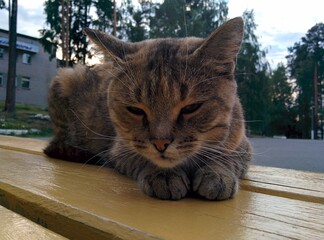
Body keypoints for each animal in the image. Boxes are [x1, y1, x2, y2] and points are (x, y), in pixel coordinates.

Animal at [44, 17, 252, 201]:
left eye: (191, 107)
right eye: (135, 110)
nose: (161, 143)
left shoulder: (242, 144)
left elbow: (228, 157)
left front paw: (217, 174)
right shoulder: (120, 148)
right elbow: (142, 157)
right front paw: (163, 175)